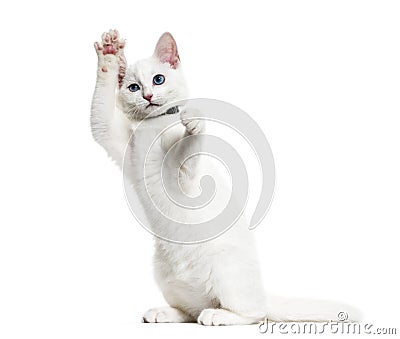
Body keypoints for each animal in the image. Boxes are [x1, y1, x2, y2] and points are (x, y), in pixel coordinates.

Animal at [90, 30, 360, 326]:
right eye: (133, 88)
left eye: (158, 79)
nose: (148, 95)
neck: (155, 125)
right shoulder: (111, 136)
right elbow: (101, 110)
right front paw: (109, 53)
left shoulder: (188, 177)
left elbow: (189, 147)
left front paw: (194, 121)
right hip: (164, 276)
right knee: (191, 312)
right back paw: (164, 313)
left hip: (226, 272)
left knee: (254, 313)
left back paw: (219, 316)